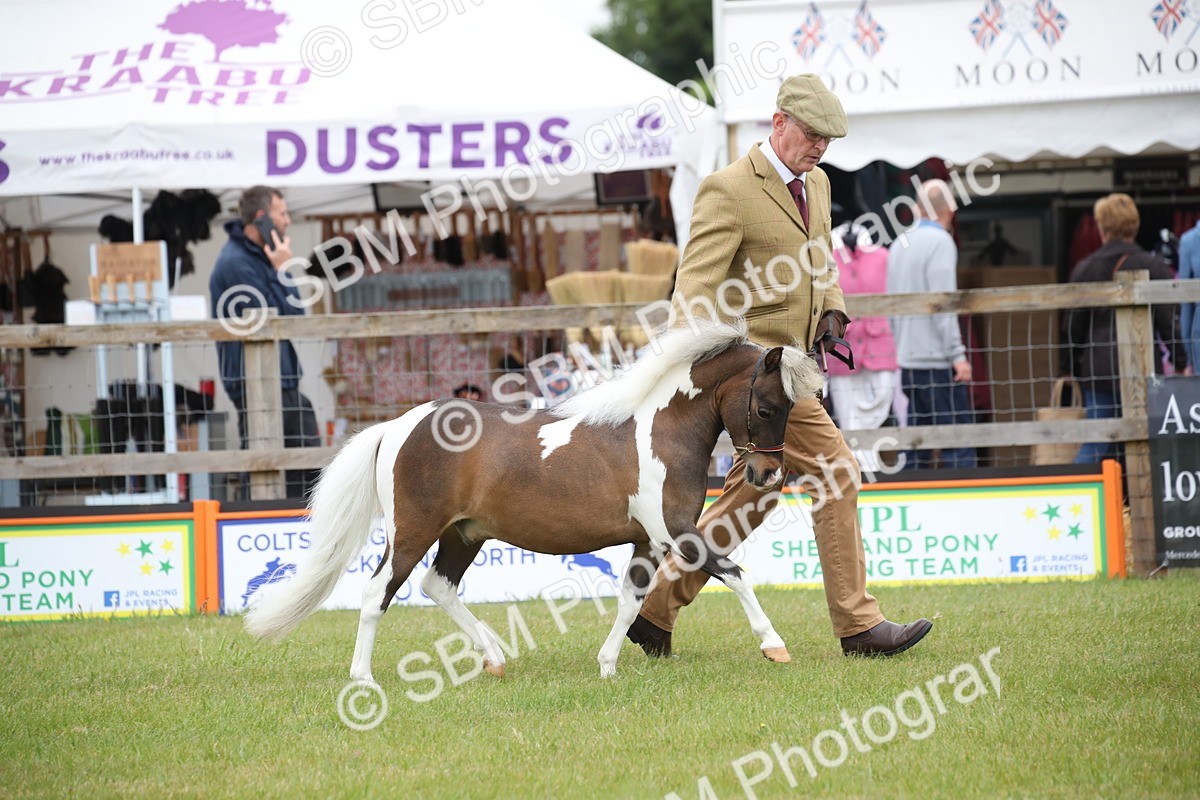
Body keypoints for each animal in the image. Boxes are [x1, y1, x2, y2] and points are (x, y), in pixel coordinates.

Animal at [244, 321, 823, 682]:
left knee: (437, 586)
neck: (662, 430)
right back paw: (363, 678)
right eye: (768, 407)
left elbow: (630, 598)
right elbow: (734, 572)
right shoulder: (675, 530)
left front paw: (607, 665)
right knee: (376, 594)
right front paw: (774, 646)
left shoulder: (648, 541)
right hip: (413, 531)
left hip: (463, 534)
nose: (769, 474)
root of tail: (398, 426)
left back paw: (494, 657)